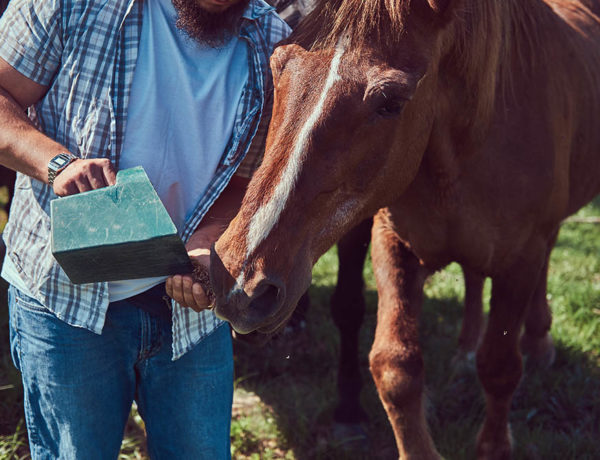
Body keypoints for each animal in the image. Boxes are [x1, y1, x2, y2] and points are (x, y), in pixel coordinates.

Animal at [211, 1, 600, 458]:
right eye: (277, 65)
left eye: (391, 101)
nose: (240, 280)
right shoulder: (393, 244)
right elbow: (396, 368)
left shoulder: (521, 259)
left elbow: (501, 367)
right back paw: (466, 348)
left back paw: (539, 342)